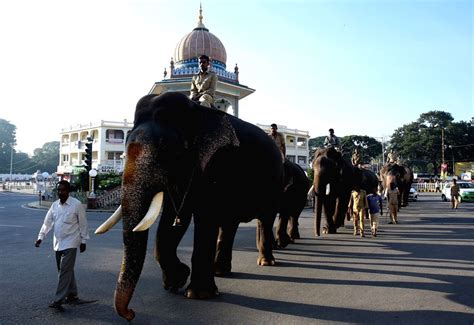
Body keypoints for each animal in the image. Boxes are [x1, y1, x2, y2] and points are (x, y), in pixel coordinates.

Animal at [94, 91, 284, 318]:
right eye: (124, 145)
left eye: (165, 146)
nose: (131, 313)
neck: (196, 111)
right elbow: (174, 219)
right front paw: (176, 281)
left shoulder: (216, 162)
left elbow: (205, 217)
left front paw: (199, 294)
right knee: (229, 224)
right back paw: (220, 271)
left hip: (274, 185)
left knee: (265, 219)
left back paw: (265, 262)